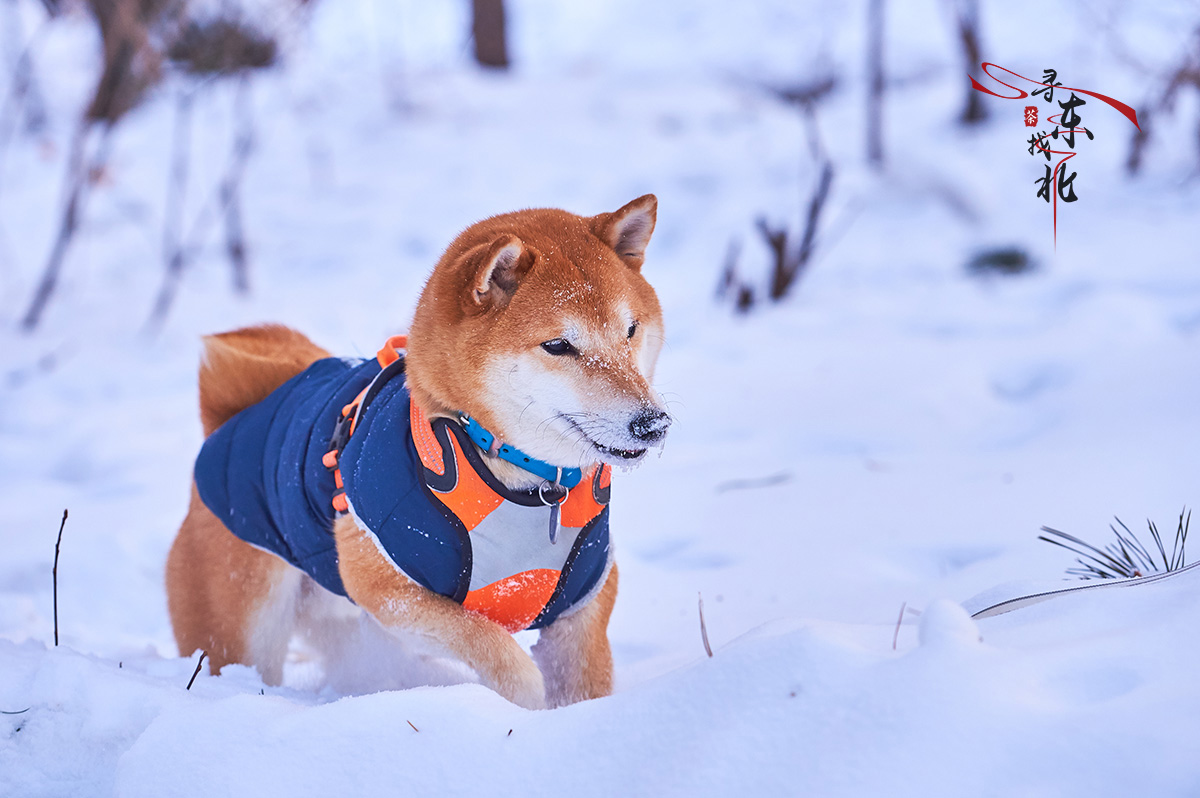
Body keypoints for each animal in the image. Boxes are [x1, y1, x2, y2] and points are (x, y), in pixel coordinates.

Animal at [166, 195, 676, 705]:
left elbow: (584, 682)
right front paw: (524, 700)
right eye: (557, 345)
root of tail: (234, 417)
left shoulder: (583, 599)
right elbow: (491, 643)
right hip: (242, 628)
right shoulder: (386, 584)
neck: (529, 484)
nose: (652, 424)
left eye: (630, 329)